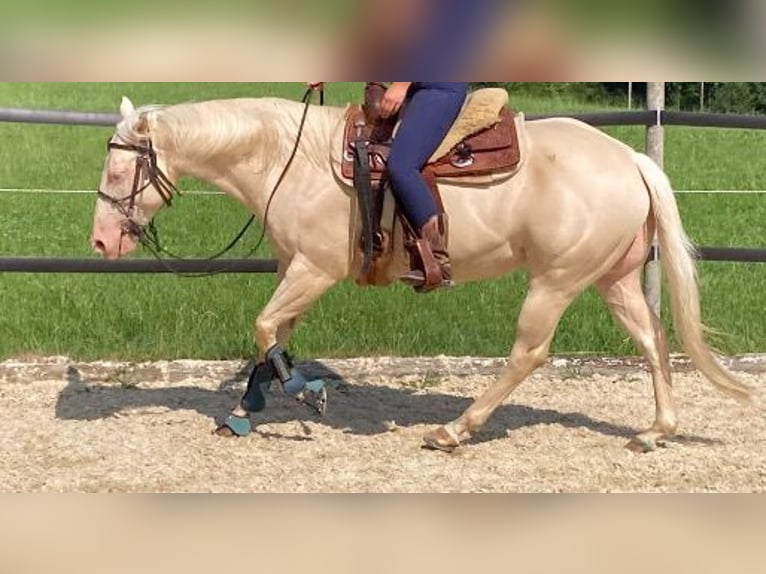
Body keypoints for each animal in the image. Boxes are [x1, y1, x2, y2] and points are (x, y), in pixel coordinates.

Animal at [91, 94, 751, 453]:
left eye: (121, 172)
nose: (100, 241)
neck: (287, 158)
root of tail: (630, 158)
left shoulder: (314, 269)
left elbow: (264, 328)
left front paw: (305, 392)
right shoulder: (292, 266)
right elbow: (273, 335)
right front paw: (244, 410)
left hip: (557, 280)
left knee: (529, 353)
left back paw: (453, 431)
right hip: (613, 279)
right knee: (654, 340)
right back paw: (656, 430)